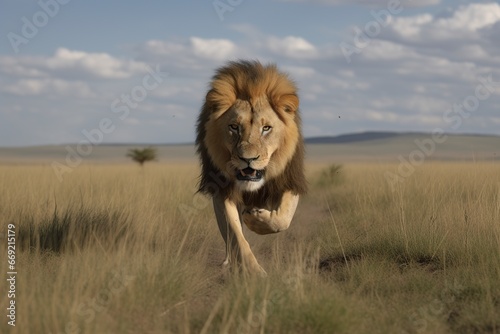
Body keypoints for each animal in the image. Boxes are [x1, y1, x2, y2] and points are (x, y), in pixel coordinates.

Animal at [196, 59, 306, 274]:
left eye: (266, 128)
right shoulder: (222, 192)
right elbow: (235, 236)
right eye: (234, 127)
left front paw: (255, 219)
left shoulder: (290, 180)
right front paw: (253, 272)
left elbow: (282, 219)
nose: (248, 159)